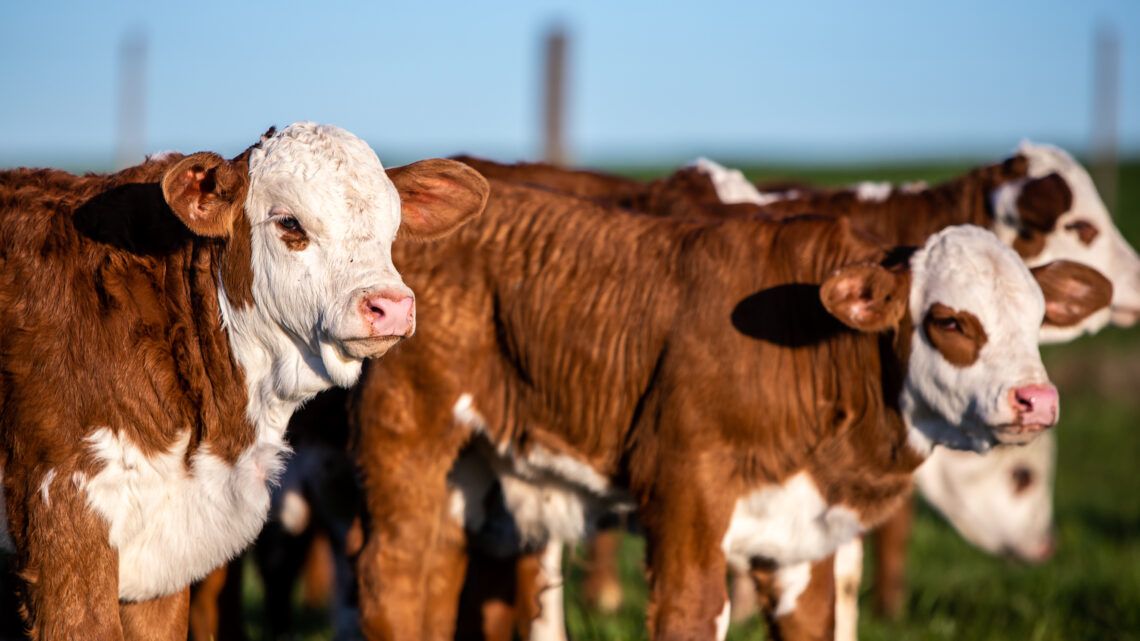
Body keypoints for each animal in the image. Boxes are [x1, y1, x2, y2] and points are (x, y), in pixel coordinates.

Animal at [346, 174, 1103, 638]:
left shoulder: (802, 533)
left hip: (471, 472)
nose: (1038, 399)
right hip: (406, 440)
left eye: (1038, 318)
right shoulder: (686, 494)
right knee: (391, 578)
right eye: (949, 321)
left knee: (439, 576)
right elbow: (691, 613)